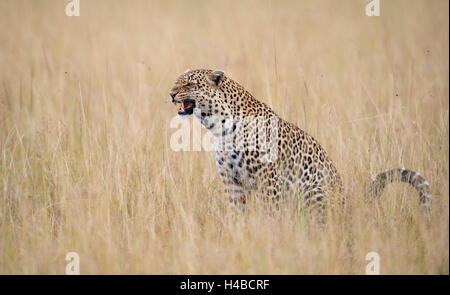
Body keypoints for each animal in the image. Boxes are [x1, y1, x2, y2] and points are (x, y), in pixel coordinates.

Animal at [169, 69, 432, 217]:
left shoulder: (268, 181)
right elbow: (235, 215)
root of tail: (350, 204)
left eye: (190, 84)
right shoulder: (231, 182)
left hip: (314, 193)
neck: (220, 128)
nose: (171, 94)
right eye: (176, 82)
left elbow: (271, 215)